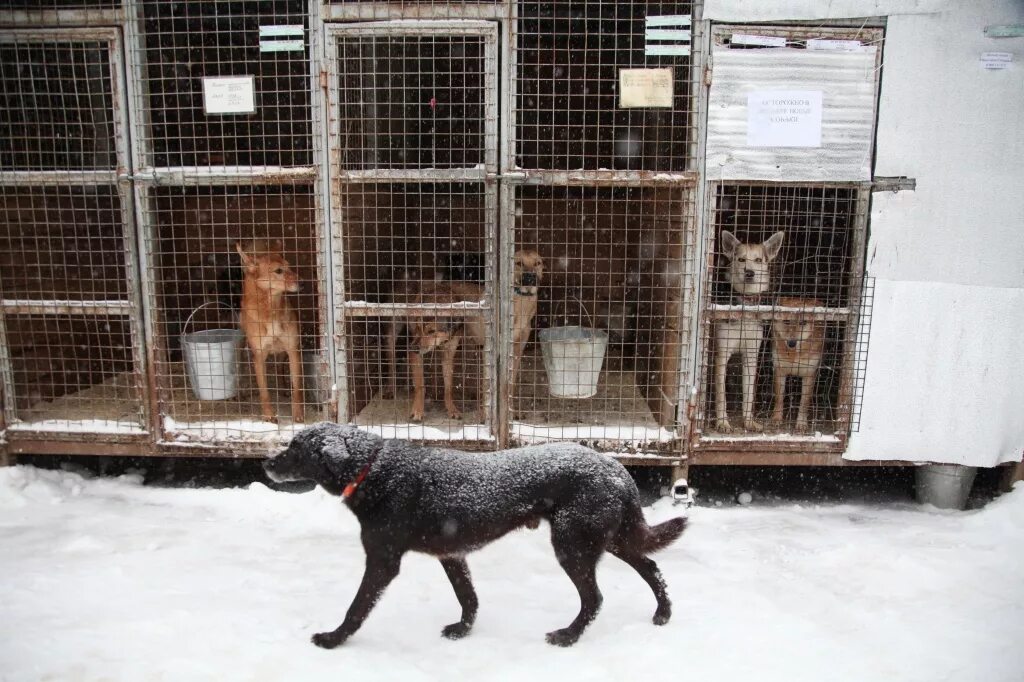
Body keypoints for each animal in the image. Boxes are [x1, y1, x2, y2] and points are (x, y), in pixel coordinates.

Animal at [235, 237, 303, 419]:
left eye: (289, 266)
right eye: (278, 271)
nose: (303, 282)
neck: (271, 309)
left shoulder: (293, 349)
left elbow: (297, 388)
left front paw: (298, 415)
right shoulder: (258, 357)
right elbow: (264, 392)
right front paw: (268, 416)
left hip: (284, 351)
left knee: (280, 367)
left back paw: (283, 388)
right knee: (240, 368)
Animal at [262, 421, 688, 647]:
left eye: (295, 447)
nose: (266, 463)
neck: (374, 469)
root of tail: (616, 468)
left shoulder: (382, 561)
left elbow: (356, 607)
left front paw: (333, 639)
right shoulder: (452, 555)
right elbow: (468, 597)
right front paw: (463, 630)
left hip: (573, 545)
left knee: (595, 597)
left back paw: (569, 635)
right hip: (611, 538)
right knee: (652, 566)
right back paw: (664, 614)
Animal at [712, 228, 782, 430]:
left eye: (758, 260)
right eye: (741, 259)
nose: (749, 272)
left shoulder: (751, 356)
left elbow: (749, 394)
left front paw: (749, 421)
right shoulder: (721, 355)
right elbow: (721, 395)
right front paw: (723, 422)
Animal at [770, 294, 827, 428]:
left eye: (803, 322)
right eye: (786, 321)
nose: (791, 343)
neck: (795, 354)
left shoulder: (810, 373)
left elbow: (804, 401)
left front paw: (801, 423)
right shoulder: (779, 369)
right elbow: (779, 397)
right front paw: (777, 418)